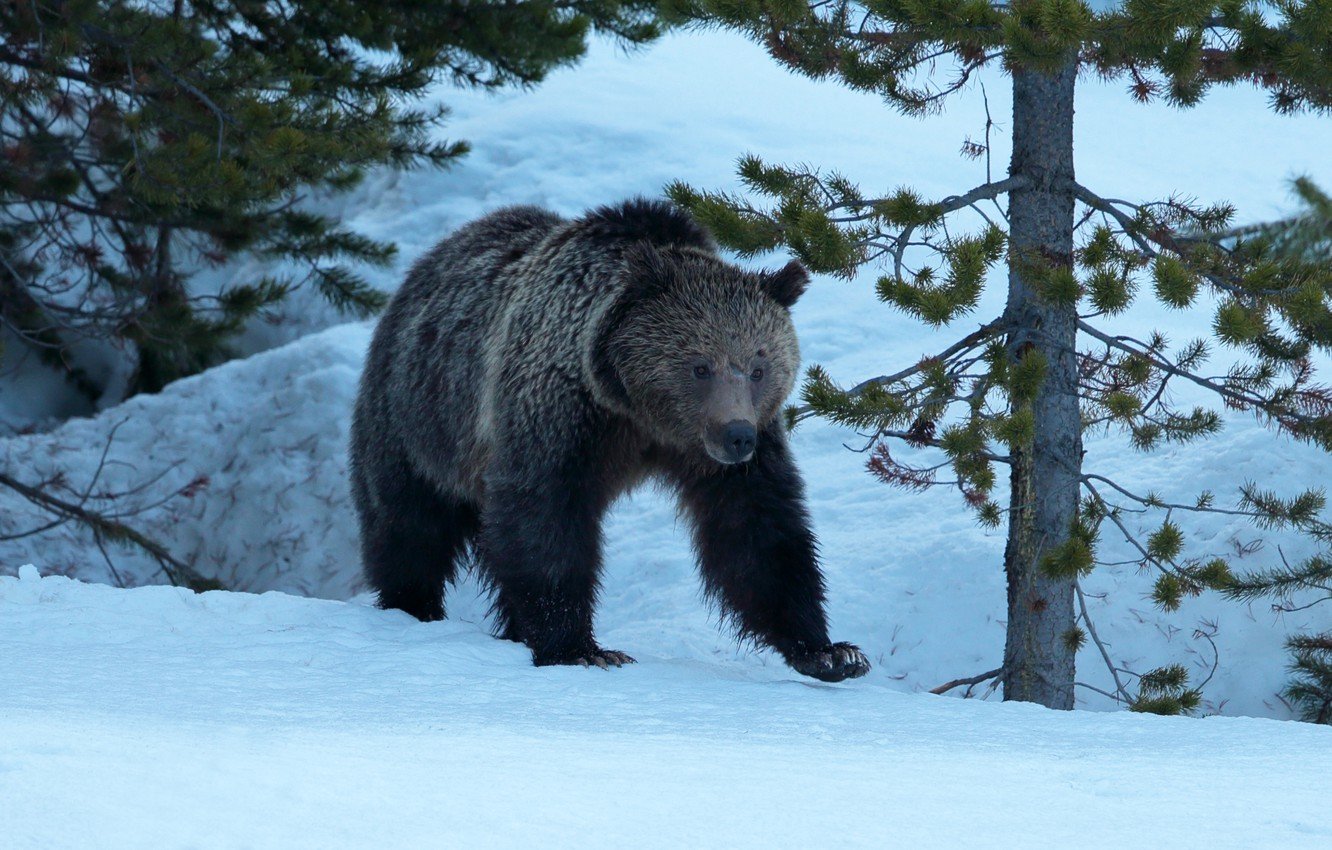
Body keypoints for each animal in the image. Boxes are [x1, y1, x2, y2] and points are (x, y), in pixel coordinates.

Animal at [351, 199, 873, 687]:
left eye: (759, 367)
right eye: (700, 366)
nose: (737, 436)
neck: (640, 414)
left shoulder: (723, 456)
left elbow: (758, 531)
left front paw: (830, 652)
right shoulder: (560, 413)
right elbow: (544, 516)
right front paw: (581, 649)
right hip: (417, 416)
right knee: (408, 525)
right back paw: (412, 605)